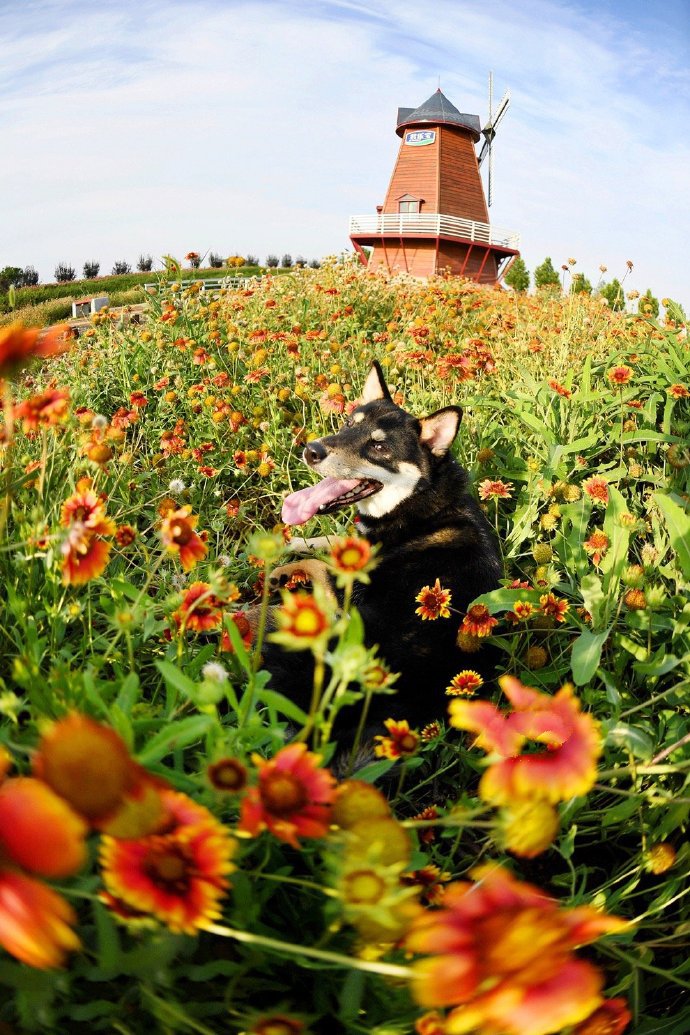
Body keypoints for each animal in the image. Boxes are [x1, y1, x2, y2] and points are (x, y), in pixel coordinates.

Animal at [266, 364, 502, 736]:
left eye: (378, 446)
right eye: (349, 423)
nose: (311, 450)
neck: (420, 503)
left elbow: (321, 562)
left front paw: (287, 569)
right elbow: (331, 542)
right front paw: (290, 544)